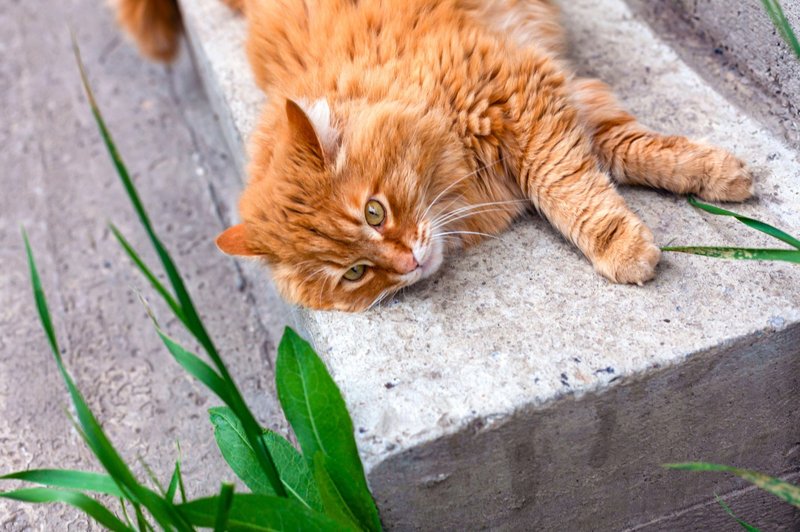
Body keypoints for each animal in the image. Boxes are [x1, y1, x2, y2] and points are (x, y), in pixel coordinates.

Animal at [115, 0, 752, 312]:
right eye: (355, 273)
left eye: (374, 212)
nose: (408, 264)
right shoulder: (557, 98)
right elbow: (618, 158)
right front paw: (715, 177)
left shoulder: (521, 93)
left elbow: (570, 186)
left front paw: (635, 236)